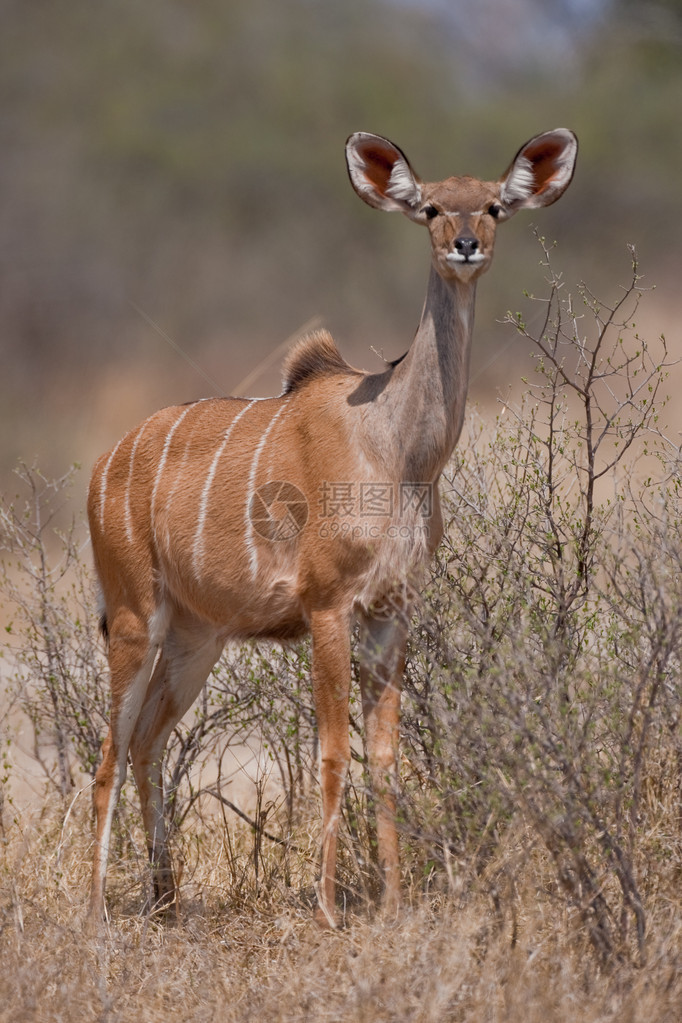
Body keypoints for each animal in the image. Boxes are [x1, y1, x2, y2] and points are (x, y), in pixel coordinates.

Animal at [85, 127, 576, 928]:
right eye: (431, 206)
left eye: (496, 205)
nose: (465, 244)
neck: (396, 452)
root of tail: (103, 465)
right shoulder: (327, 605)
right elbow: (334, 750)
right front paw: (328, 906)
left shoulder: (392, 612)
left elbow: (386, 757)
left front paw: (395, 900)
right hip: (134, 615)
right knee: (110, 751)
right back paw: (100, 912)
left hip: (197, 637)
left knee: (148, 741)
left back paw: (166, 899)